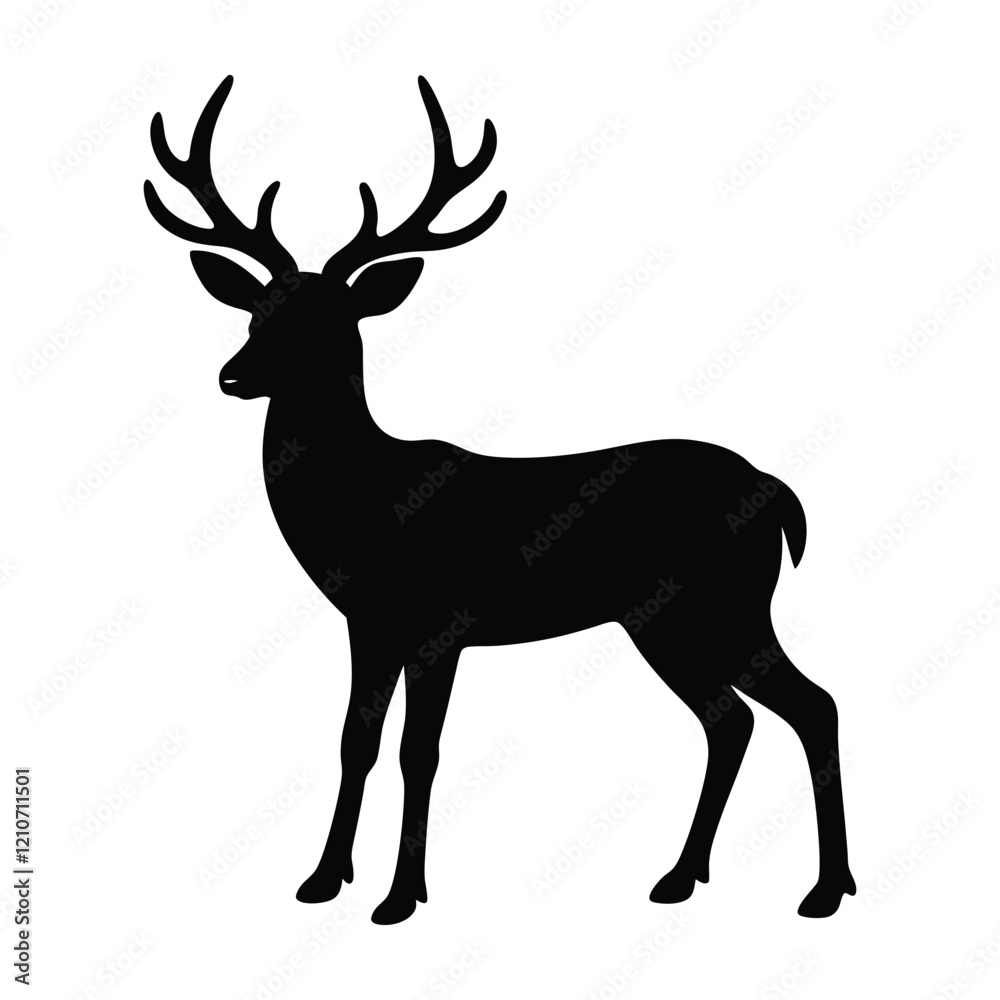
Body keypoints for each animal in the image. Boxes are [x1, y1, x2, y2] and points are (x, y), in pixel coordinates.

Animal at [145, 75, 856, 924]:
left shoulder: (439, 621)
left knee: (810, 705)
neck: (367, 501)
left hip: (721, 604)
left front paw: (401, 896)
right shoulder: (368, 624)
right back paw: (684, 877)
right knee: (735, 718)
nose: (233, 374)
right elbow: (356, 741)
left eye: (331, 322)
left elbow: (419, 752)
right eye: (258, 312)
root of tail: (779, 494)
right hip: (671, 619)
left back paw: (824, 889)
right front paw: (322, 879)